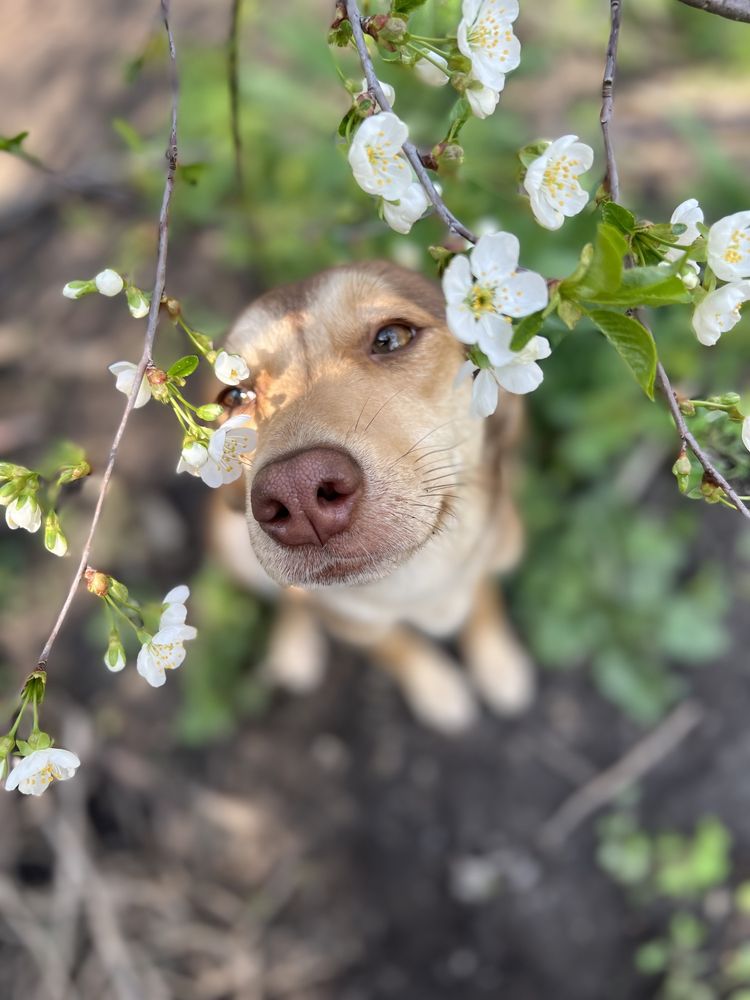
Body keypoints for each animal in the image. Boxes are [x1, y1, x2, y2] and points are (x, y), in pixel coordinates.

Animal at [209, 264, 532, 736]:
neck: (415, 579)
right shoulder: (356, 626)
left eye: (391, 338)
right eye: (233, 397)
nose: (297, 490)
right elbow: (395, 647)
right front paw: (436, 689)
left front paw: (497, 663)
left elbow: (484, 599)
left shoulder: (491, 551)